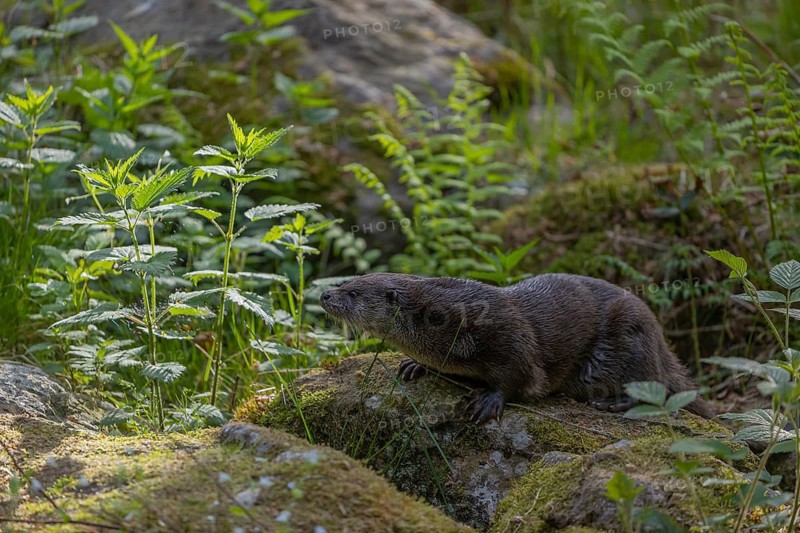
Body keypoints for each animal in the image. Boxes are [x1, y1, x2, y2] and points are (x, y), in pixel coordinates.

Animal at [320, 273, 711, 424]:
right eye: (347, 280)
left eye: (352, 292)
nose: (324, 294)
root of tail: (658, 338)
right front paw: (415, 365)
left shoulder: (509, 336)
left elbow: (518, 374)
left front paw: (488, 401)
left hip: (630, 338)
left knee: (655, 384)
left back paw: (615, 403)